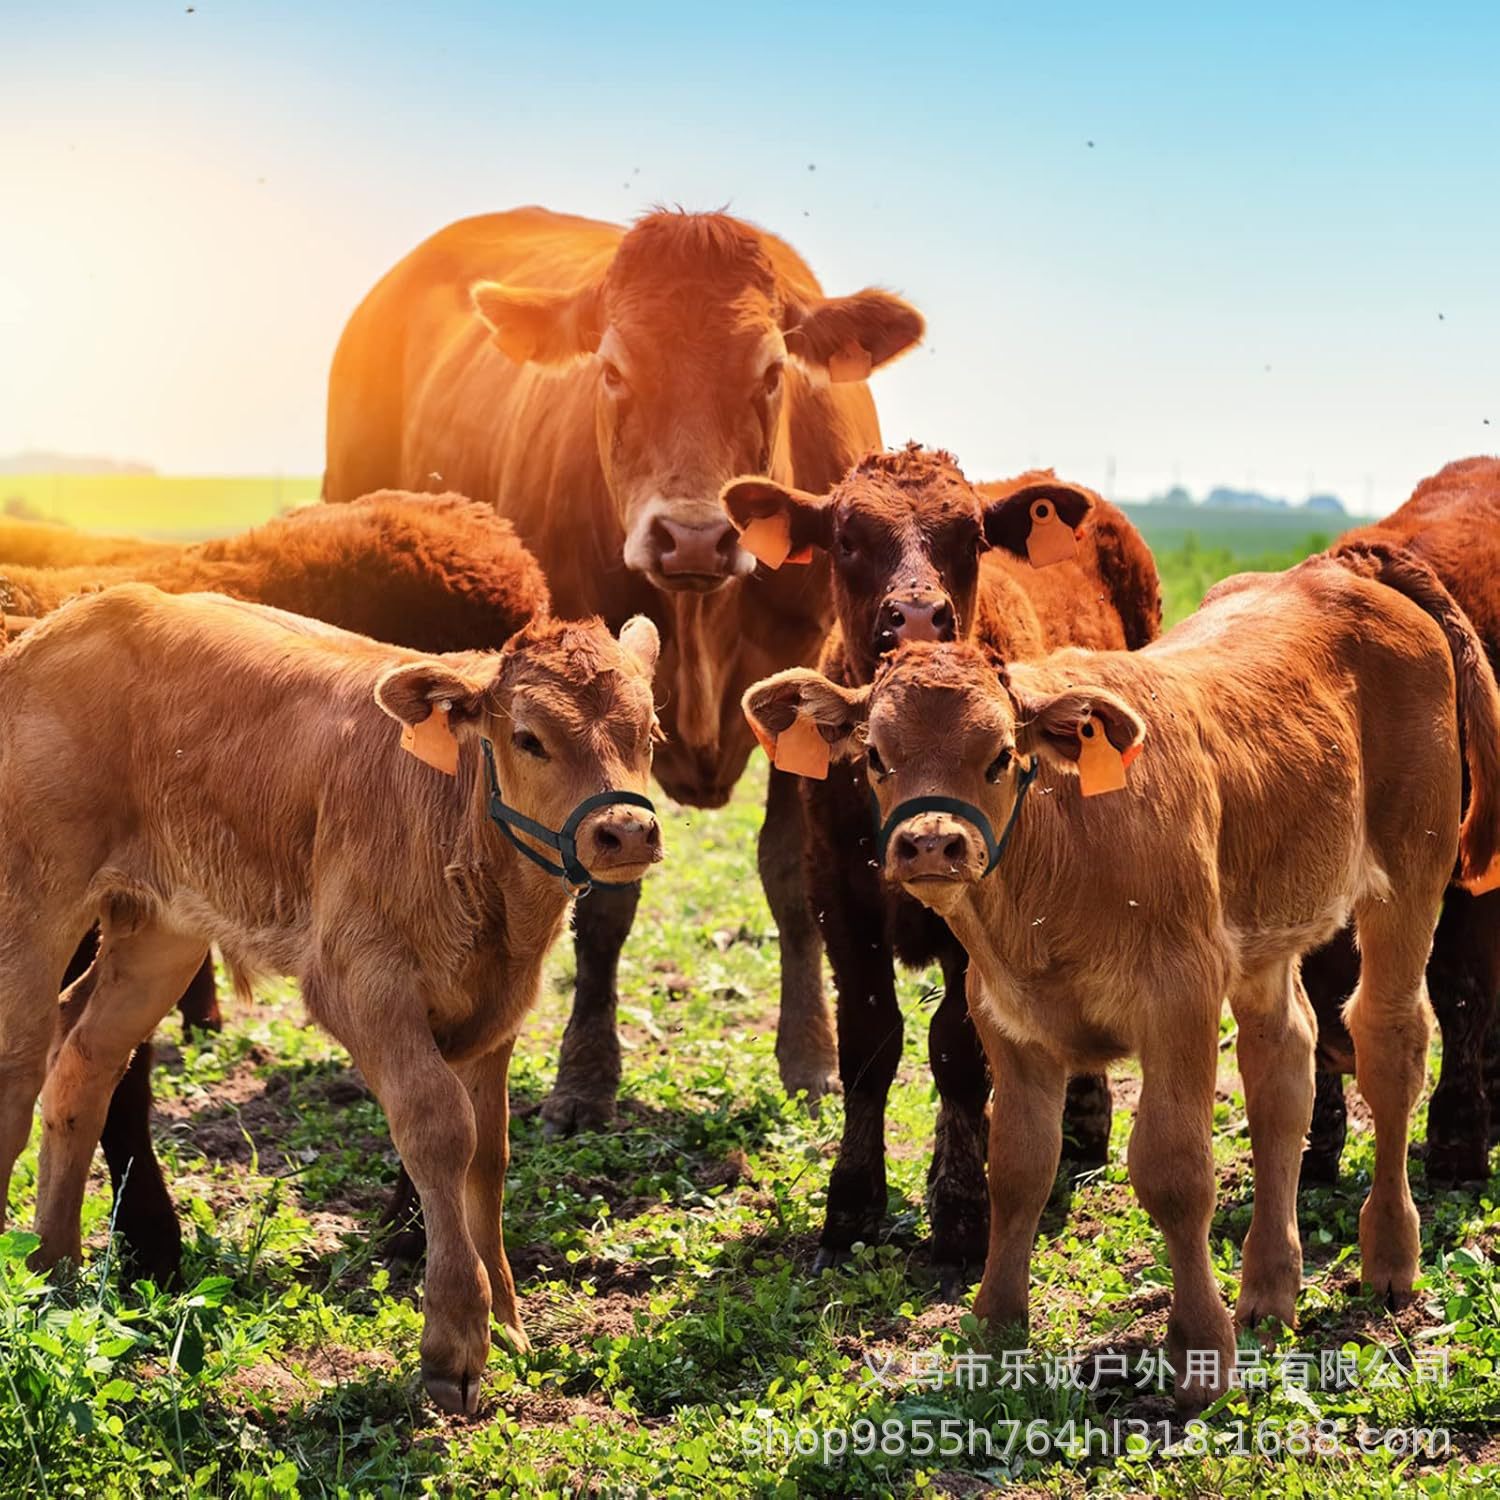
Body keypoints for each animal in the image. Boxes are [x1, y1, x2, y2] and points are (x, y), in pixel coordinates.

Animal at [0, 585, 664, 1415]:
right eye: (529, 738)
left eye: (649, 732)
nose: (627, 830)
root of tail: (72, 615)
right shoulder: (360, 981)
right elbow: (440, 1130)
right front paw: (455, 1341)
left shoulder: (496, 1010)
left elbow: (490, 1153)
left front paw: (510, 1326)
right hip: (32, 898)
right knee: (19, 1064)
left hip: (163, 929)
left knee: (85, 1064)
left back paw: (52, 1273)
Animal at [325, 205, 925, 1132]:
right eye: (612, 370)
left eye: (770, 373)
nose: (693, 536)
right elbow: (603, 898)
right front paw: (584, 1077)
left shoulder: (800, 687)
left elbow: (789, 874)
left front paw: (810, 1057)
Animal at [720, 446, 1160, 1284]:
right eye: (847, 539)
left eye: (972, 538)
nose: (919, 617)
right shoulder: (838, 898)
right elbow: (869, 1041)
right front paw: (852, 1203)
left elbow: (958, 1047)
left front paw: (960, 1209)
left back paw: (1083, 1124)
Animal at [743, 542, 1500, 1407]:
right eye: (875, 755)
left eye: (1000, 756)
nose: (930, 843)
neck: (1056, 864)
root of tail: (1335, 568)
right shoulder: (1007, 1016)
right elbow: (1018, 1168)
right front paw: (995, 1327)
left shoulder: (1180, 997)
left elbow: (1174, 1171)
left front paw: (1200, 1351)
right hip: (1265, 933)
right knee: (1284, 1070)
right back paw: (1270, 1292)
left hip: (1411, 874)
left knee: (1390, 1042)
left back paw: (1390, 1258)